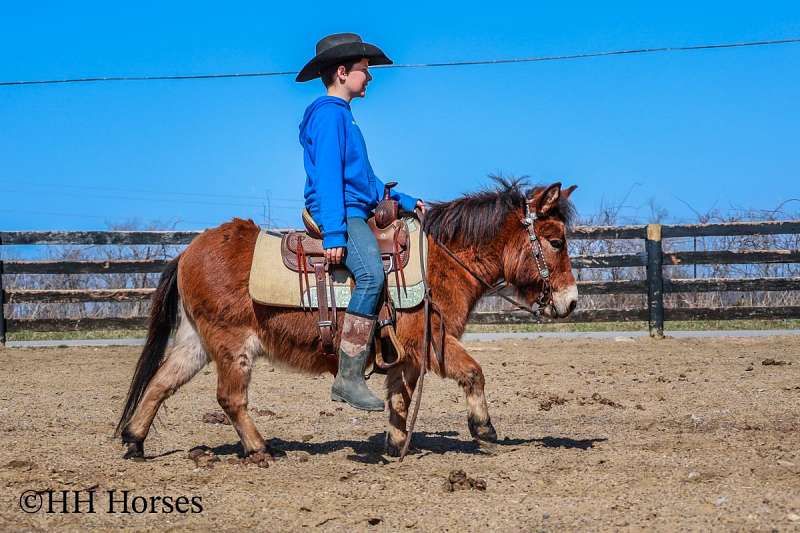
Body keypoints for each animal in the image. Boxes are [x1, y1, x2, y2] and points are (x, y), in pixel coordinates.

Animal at [115, 178, 580, 458]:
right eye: (556, 241)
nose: (572, 302)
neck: (440, 262)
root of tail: (187, 253)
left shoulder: (405, 355)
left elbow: (400, 396)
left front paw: (396, 444)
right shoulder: (433, 342)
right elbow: (473, 372)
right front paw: (483, 430)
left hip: (197, 342)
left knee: (160, 382)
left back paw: (134, 441)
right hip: (232, 346)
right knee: (230, 398)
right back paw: (261, 449)